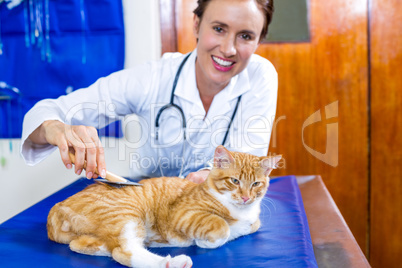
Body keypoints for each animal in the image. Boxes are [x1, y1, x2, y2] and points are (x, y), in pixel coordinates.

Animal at [47, 147, 282, 268]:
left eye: (256, 184)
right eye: (234, 181)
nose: (245, 197)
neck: (240, 211)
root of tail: (58, 205)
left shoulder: (253, 221)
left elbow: (249, 226)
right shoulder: (183, 214)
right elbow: (221, 226)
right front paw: (207, 241)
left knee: (87, 246)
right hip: (125, 214)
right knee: (124, 251)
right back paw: (172, 262)